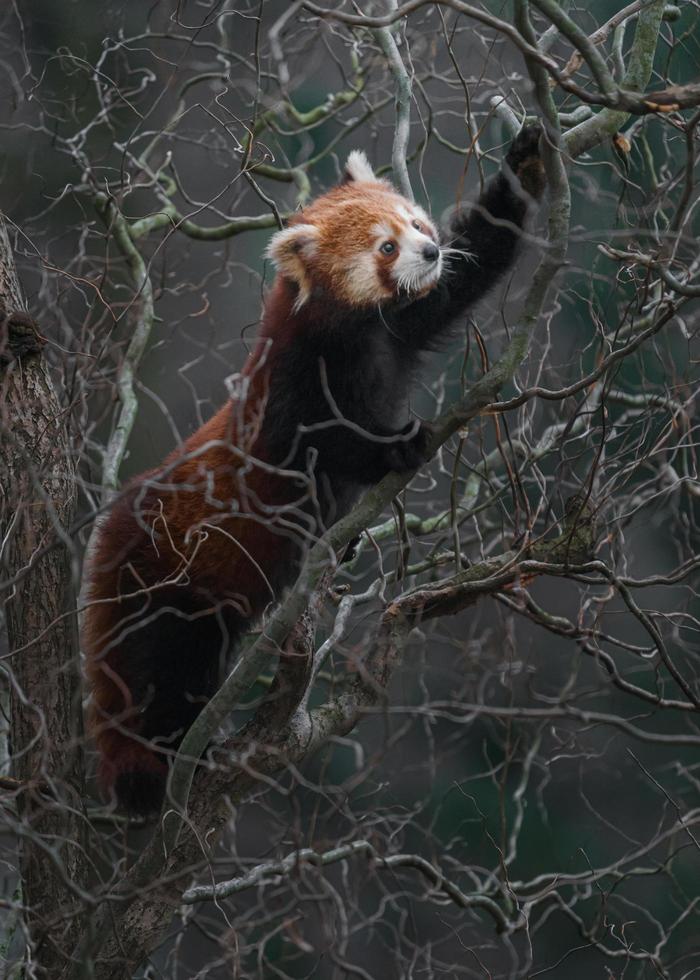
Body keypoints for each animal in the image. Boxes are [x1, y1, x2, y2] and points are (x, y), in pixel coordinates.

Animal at [80, 128, 540, 812]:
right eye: (385, 246)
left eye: (414, 223)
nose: (430, 250)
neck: (352, 332)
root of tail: (109, 538)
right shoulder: (289, 389)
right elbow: (323, 444)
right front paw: (393, 448)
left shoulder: (401, 326)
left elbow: (472, 266)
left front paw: (525, 163)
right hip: (165, 584)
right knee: (161, 671)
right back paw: (162, 763)